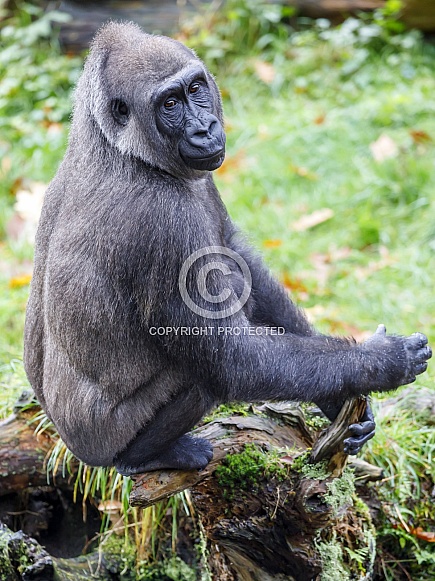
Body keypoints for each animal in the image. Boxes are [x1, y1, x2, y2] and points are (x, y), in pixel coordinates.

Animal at [23, 22, 432, 476]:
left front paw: (337, 400)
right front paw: (380, 363)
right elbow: (232, 357)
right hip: (100, 447)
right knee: (202, 378)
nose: (205, 127)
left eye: (195, 88)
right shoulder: (160, 222)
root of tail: (69, 441)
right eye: (170, 104)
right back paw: (145, 456)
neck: (118, 146)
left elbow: (239, 256)